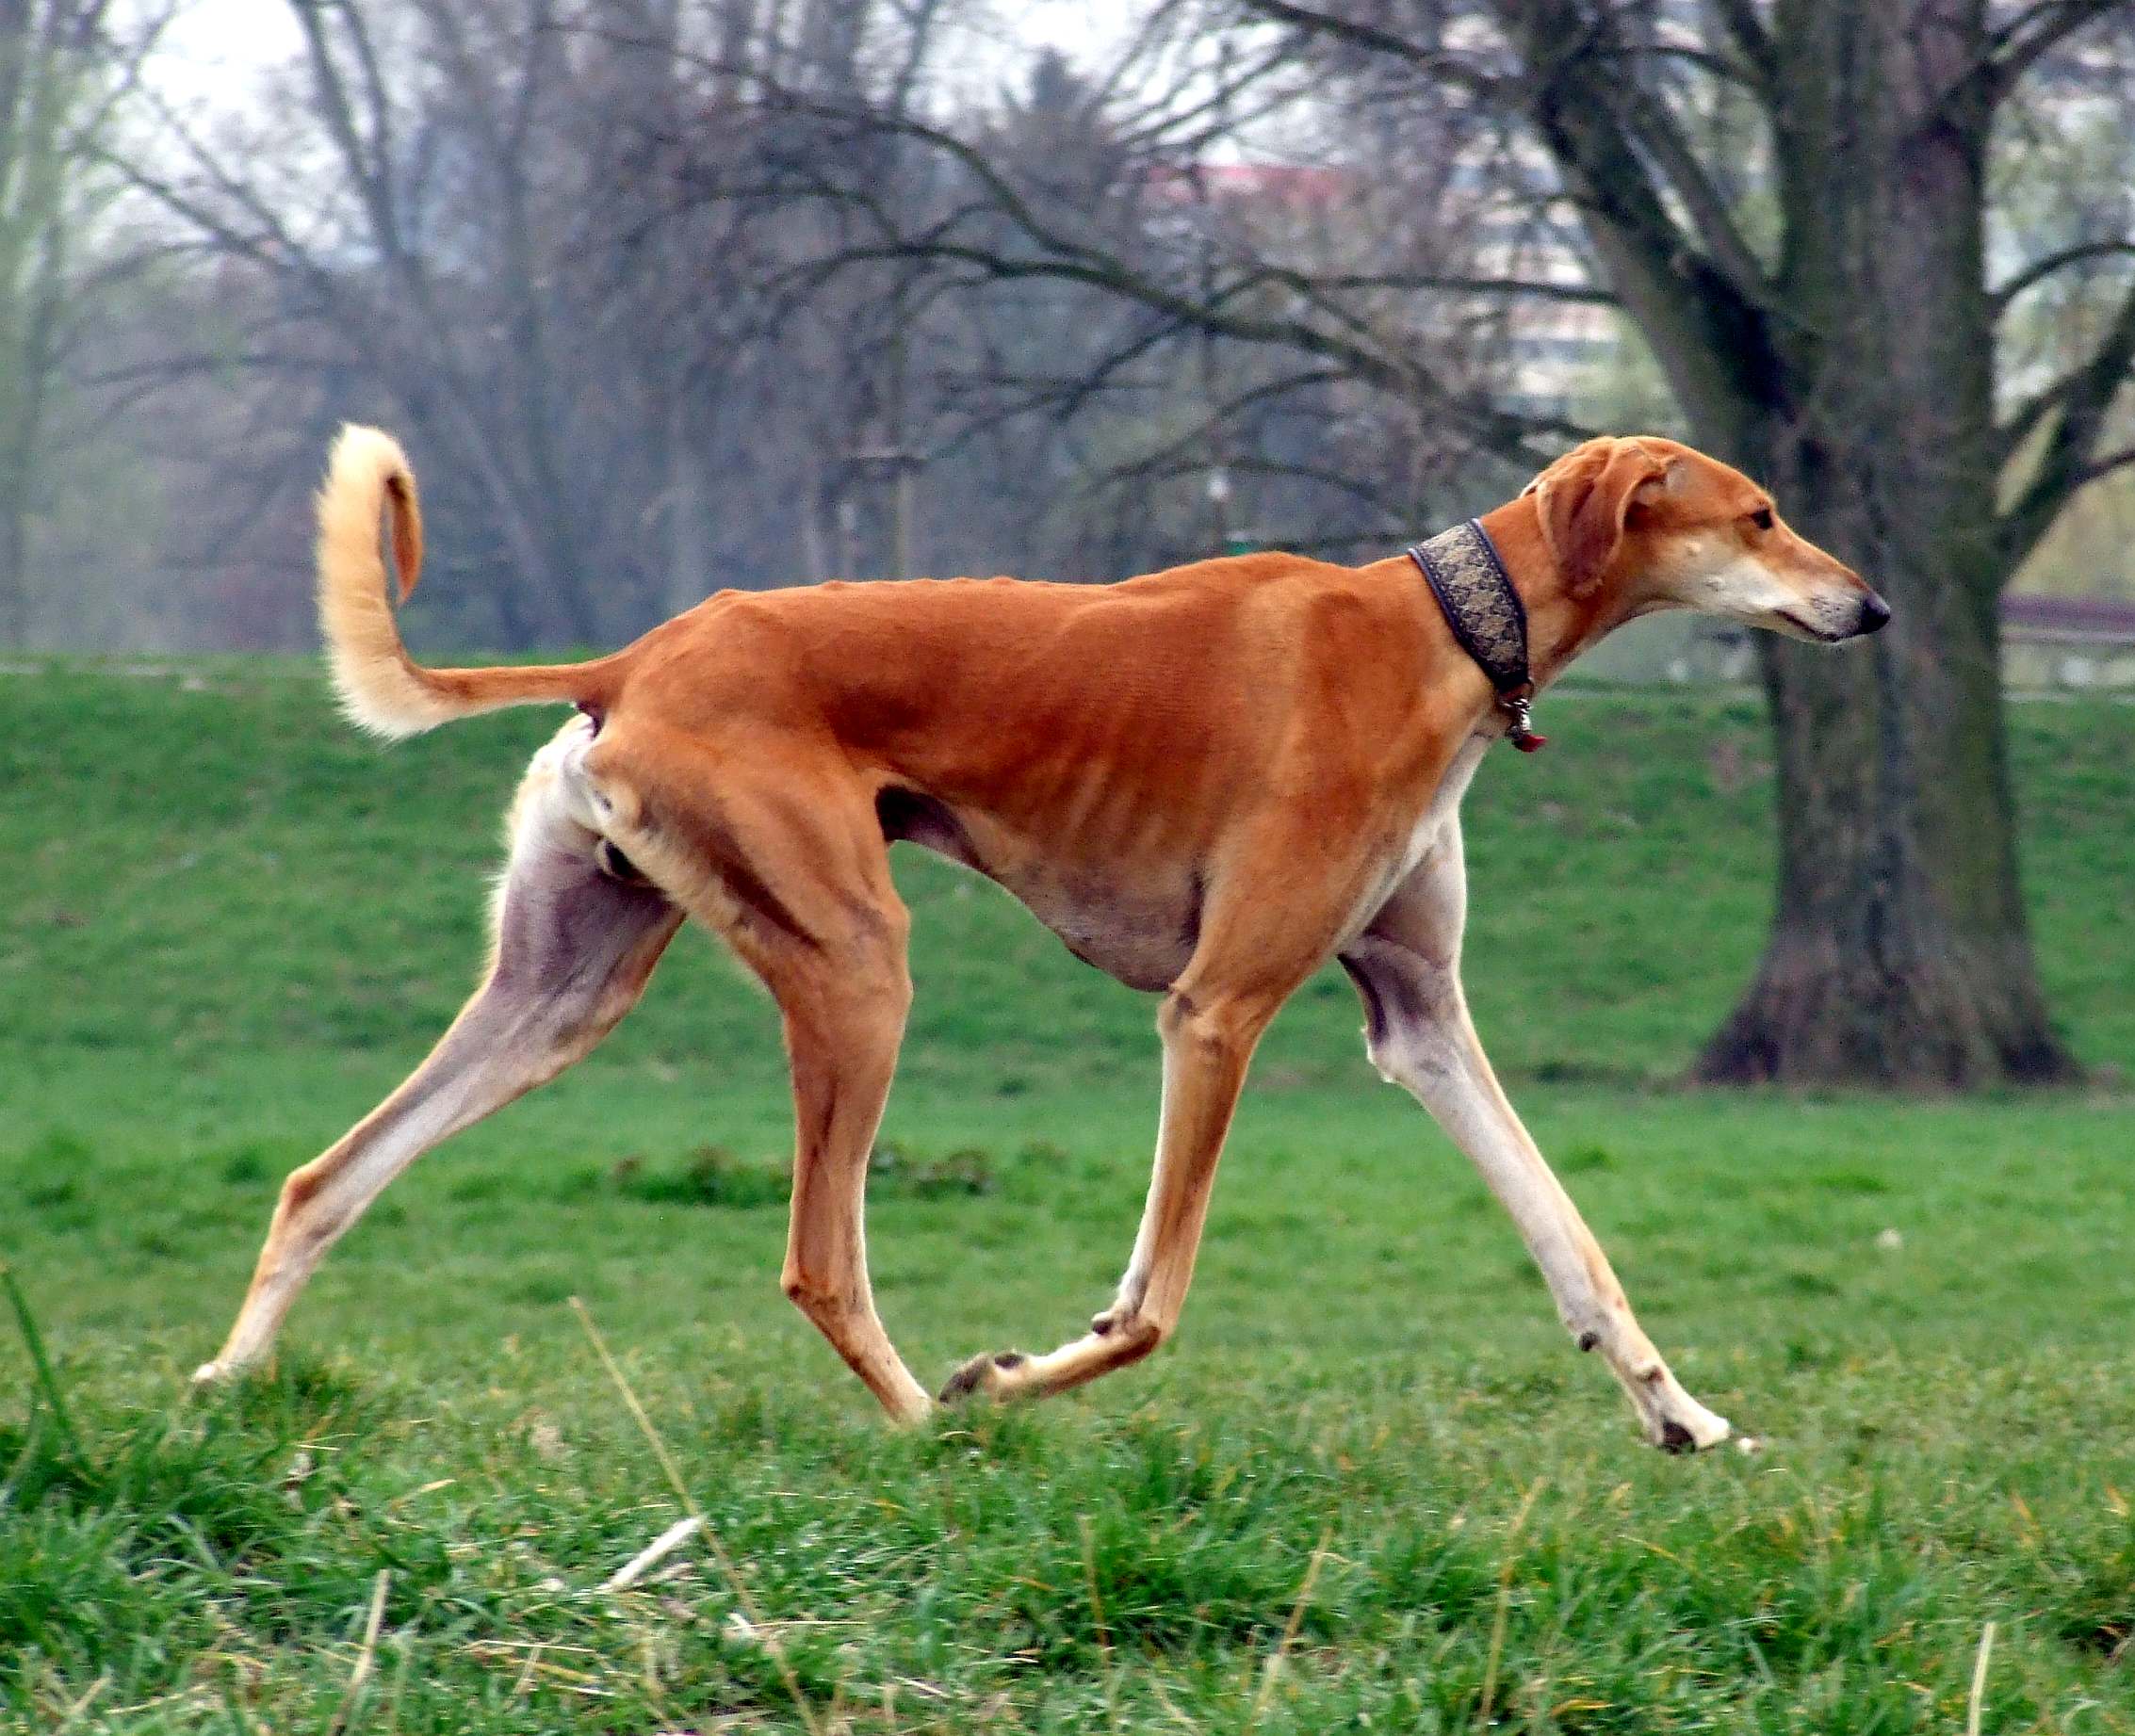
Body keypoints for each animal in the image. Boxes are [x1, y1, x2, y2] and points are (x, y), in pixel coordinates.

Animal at [196, 429, 1887, 1452]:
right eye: (1760, 512)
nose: (1871, 606)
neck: (1432, 628)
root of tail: (633, 658)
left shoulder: (1421, 1021)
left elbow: (1569, 1236)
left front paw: (1683, 1414)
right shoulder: (1214, 1008)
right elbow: (1147, 1304)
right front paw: (1008, 1372)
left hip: (562, 989)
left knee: (323, 1177)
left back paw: (223, 1379)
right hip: (857, 967)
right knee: (821, 1259)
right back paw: (932, 1425)